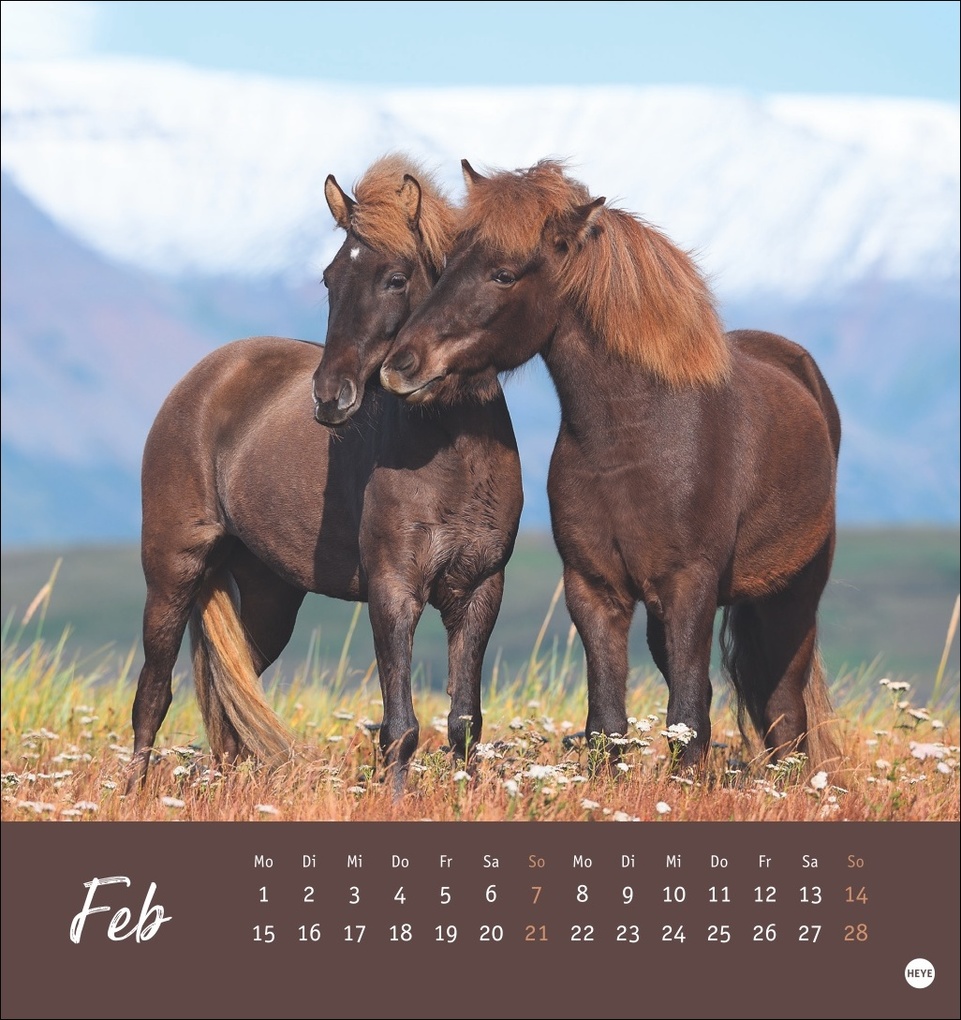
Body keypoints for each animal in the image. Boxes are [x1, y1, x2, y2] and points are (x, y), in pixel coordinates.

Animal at [129, 155, 523, 796]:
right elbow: (400, 726)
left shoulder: (479, 591)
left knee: (230, 710)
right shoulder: (393, 590)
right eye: (329, 278)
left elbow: (465, 722)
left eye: (395, 279)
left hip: (269, 596)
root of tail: (203, 379)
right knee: (153, 695)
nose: (330, 398)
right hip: (172, 570)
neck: (452, 455)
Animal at [381, 159, 841, 772]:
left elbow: (686, 719)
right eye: (449, 263)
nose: (400, 365)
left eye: (504, 274)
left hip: (791, 600)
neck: (634, 439)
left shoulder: (689, 587)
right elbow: (608, 722)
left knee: (785, 709)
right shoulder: (594, 588)